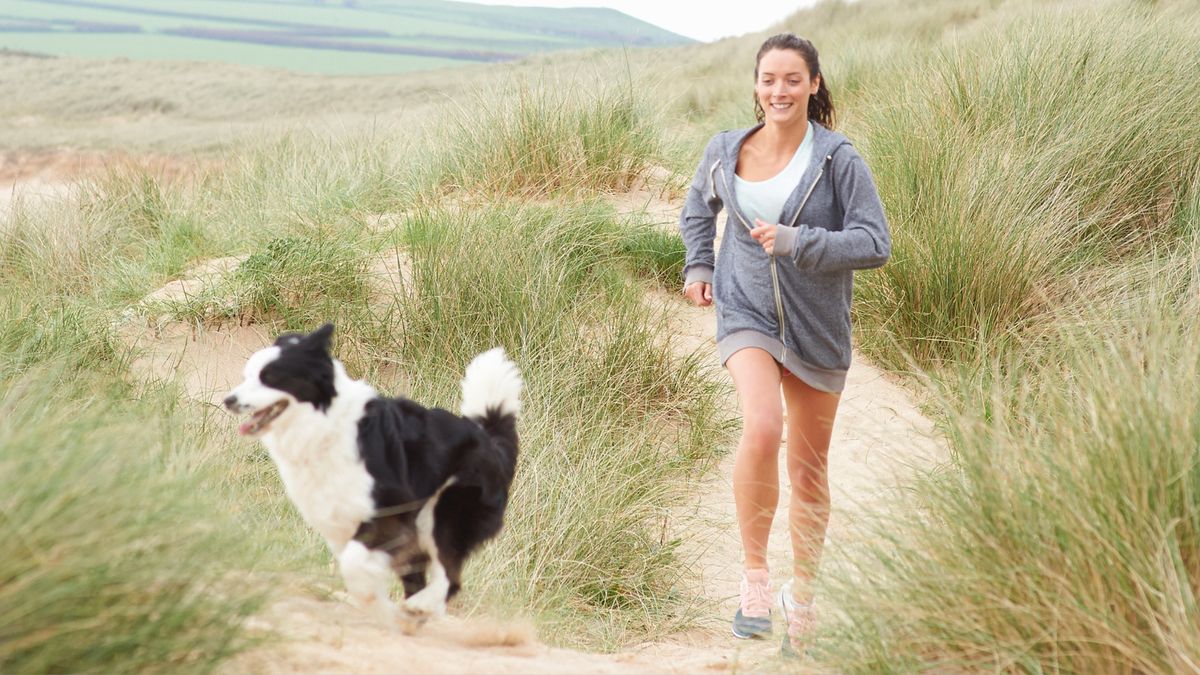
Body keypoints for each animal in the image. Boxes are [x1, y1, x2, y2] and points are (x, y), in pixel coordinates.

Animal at [224, 324, 520, 629]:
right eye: (246, 376)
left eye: (269, 378)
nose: (228, 401)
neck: (325, 426)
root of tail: (490, 439)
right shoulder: (340, 520)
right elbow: (359, 570)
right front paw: (383, 611)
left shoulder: (389, 511)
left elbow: (354, 564)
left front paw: (381, 608)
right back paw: (412, 617)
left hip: (445, 512)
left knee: (449, 575)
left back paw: (421, 607)